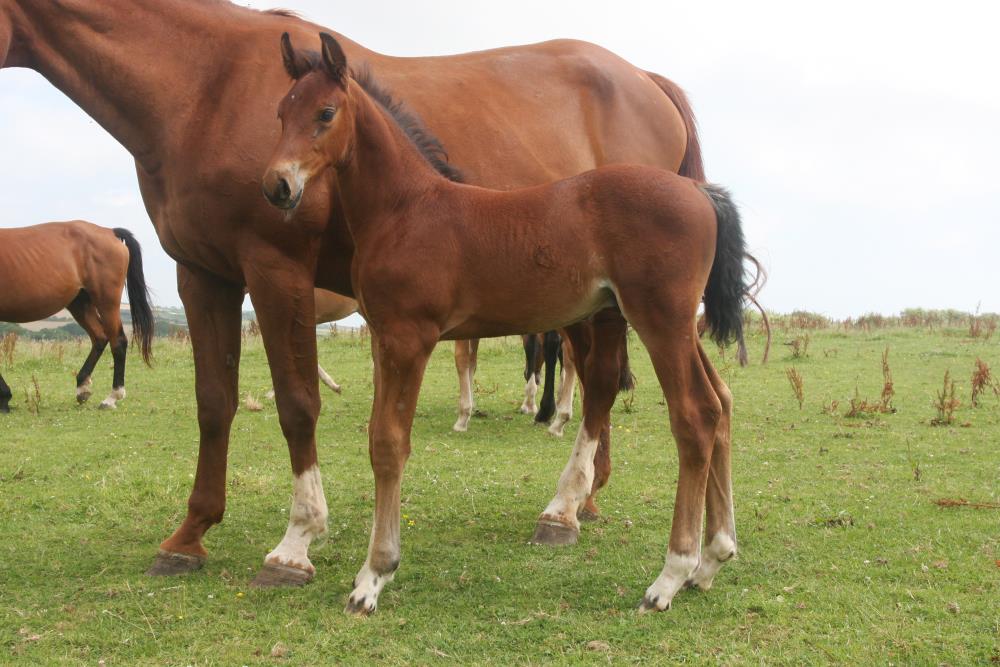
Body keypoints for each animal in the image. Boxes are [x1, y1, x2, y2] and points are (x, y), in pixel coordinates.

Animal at [0, 0, 704, 584]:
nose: (279, 185)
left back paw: (567, 508)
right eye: (277, 113)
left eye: (323, 115)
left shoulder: (276, 266)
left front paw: (296, 542)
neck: (201, 87)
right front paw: (189, 535)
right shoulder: (203, 273)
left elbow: (297, 403)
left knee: (613, 382)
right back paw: (582, 500)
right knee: (618, 383)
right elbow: (213, 403)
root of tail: (649, 81)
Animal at [264, 32, 752, 616]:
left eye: (325, 112)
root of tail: (701, 193)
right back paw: (713, 558)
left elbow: (388, 444)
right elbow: (381, 438)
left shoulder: (410, 337)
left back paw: (670, 576)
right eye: (280, 112)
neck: (406, 208)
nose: (277, 185)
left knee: (695, 416)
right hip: (675, 323)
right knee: (721, 401)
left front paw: (373, 577)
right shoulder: (384, 338)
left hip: (660, 321)